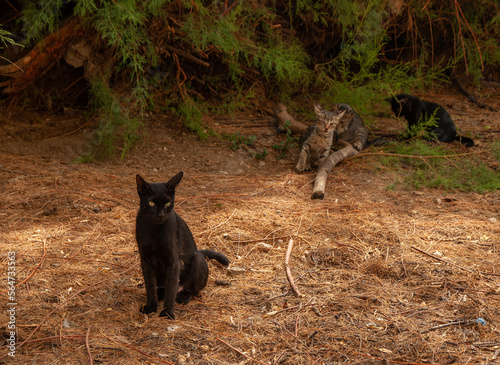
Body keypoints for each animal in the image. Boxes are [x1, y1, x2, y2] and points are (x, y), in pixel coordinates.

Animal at [134, 172, 229, 318]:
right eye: (151, 203)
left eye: (168, 203)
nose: (161, 214)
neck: (155, 230)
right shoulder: (146, 260)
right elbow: (150, 286)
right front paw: (150, 307)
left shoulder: (174, 262)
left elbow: (171, 290)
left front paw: (167, 313)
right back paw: (160, 294)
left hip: (198, 260)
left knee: (193, 290)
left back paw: (183, 296)